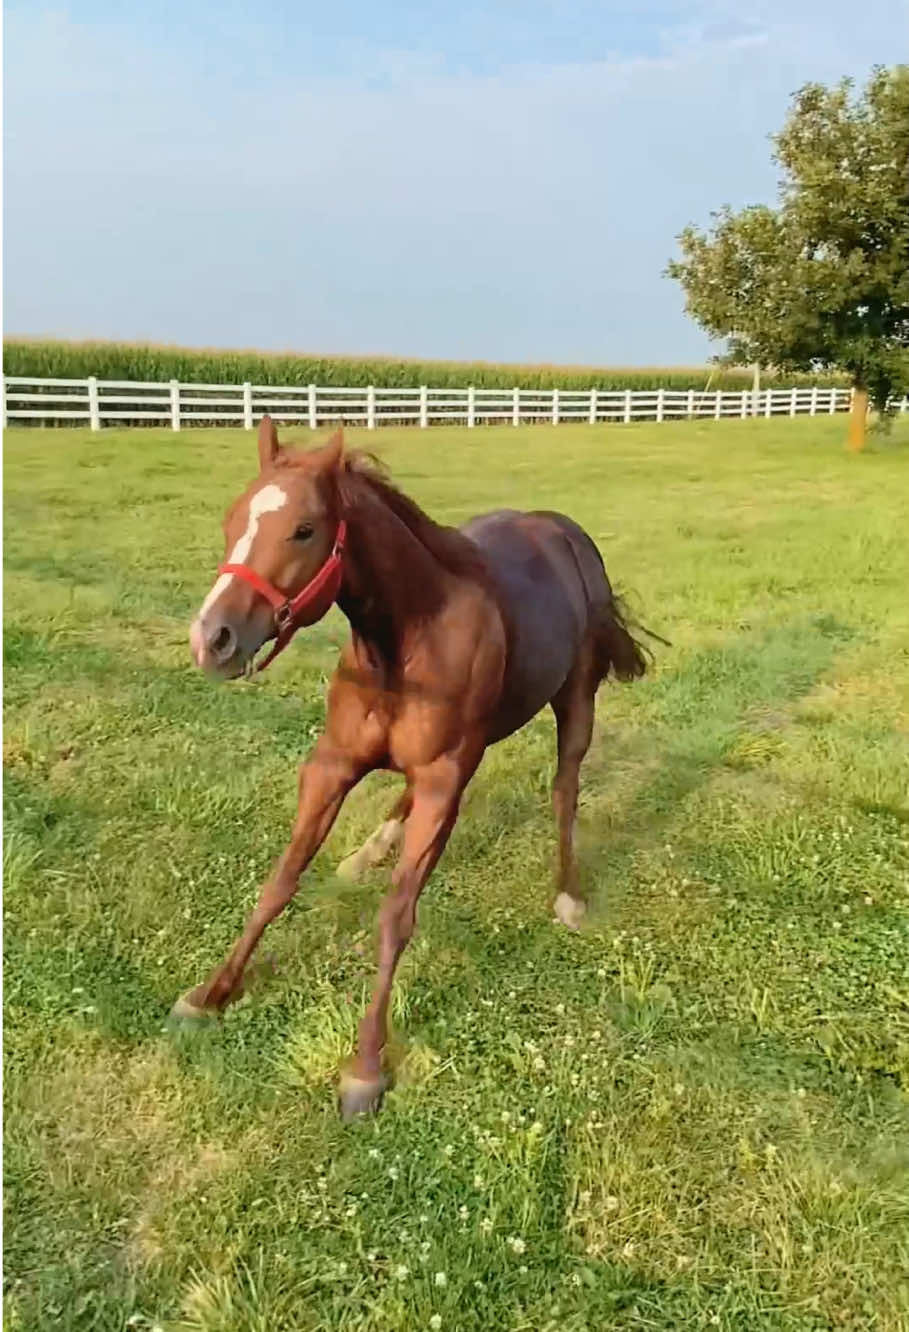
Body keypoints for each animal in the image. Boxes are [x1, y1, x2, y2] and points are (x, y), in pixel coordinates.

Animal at [176, 417, 652, 1119]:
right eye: (232, 519)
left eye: (304, 529)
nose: (213, 639)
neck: (401, 644)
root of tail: (565, 530)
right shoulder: (333, 765)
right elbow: (280, 880)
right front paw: (210, 993)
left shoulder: (440, 781)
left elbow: (396, 917)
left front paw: (365, 1070)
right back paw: (369, 850)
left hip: (575, 699)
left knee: (566, 788)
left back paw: (567, 894)